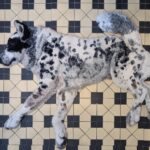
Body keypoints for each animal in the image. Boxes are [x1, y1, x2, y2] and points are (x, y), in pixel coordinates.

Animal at [1, 12, 150, 149]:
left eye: (10, 44)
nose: (0, 58)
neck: (41, 46)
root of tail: (135, 45)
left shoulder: (47, 84)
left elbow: (27, 103)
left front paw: (12, 120)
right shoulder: (66, 91)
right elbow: (57, 117)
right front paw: (61, 137)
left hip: (120, 75)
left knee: (142, 91)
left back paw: (132, 113)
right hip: (130, 78)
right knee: (146, 90)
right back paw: (140, 113)